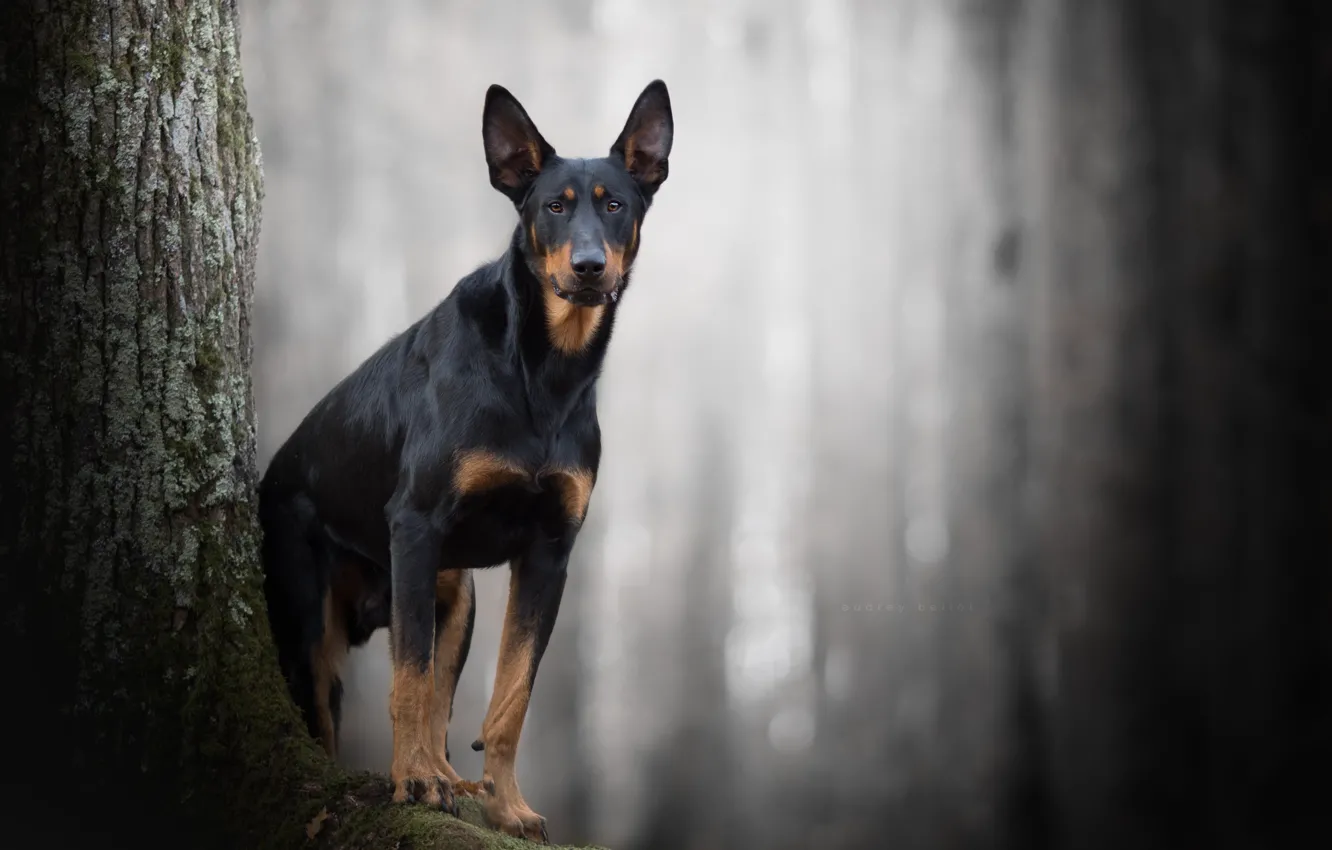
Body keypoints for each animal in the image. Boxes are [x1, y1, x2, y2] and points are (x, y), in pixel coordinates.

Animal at [258, 81, 671, 847]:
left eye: (616, 205)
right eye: (554, 207)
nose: (589, 268)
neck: (544, 374)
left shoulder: (549, 552)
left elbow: (509, 697)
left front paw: (505, 806)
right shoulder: (416, 525)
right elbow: (408, 684)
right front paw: (412, 785)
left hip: (458, 597)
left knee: (439, 704)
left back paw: (451, 776)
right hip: (308, 615)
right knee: (337, 712)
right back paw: (424, 774)